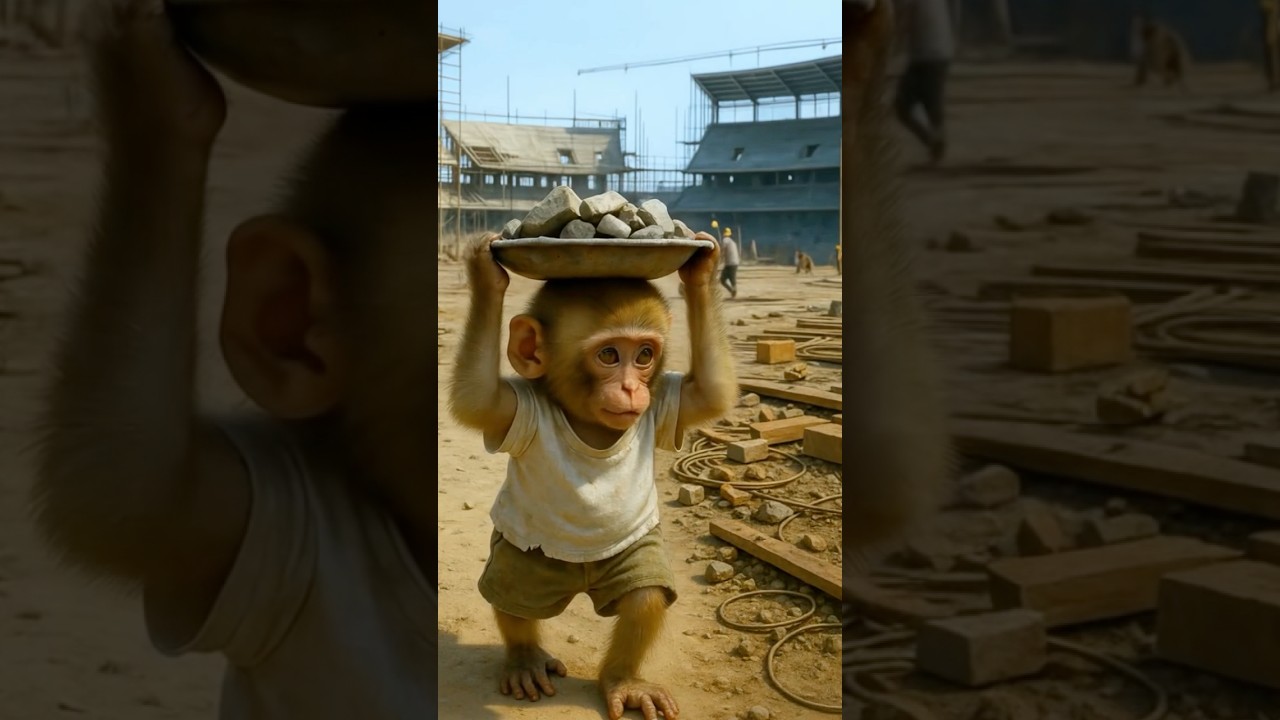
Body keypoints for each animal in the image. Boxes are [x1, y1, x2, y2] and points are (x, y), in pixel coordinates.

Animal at [448, 233, 736, 720]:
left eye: (645, 356)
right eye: (608, 355)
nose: (632, 389)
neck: (589, 424)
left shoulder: (664, 403)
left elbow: (710, 392)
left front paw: (701, 269)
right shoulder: (517, 409)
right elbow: (476, 395)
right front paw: (486, 274)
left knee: (644, 596)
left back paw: (623, 681)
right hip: (522, 560)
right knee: (512, 595)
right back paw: (526, 659)